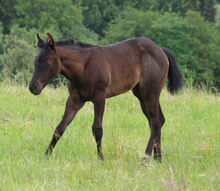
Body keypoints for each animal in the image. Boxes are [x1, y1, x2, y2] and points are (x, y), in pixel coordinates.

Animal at [28, 33, 182, 162]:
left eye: (47, 62)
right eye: (35, 61)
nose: (33, 87)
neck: (83, 67)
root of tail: (161, 50)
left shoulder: (100, 97)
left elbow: (97, 129)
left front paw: (101, 159)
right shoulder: (74, 100)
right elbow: (59, 128)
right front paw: (46, 155)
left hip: (150, 91)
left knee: (155, 122)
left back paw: (145, 159)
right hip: (140, 94)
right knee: (157, 120)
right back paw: (158, 159)